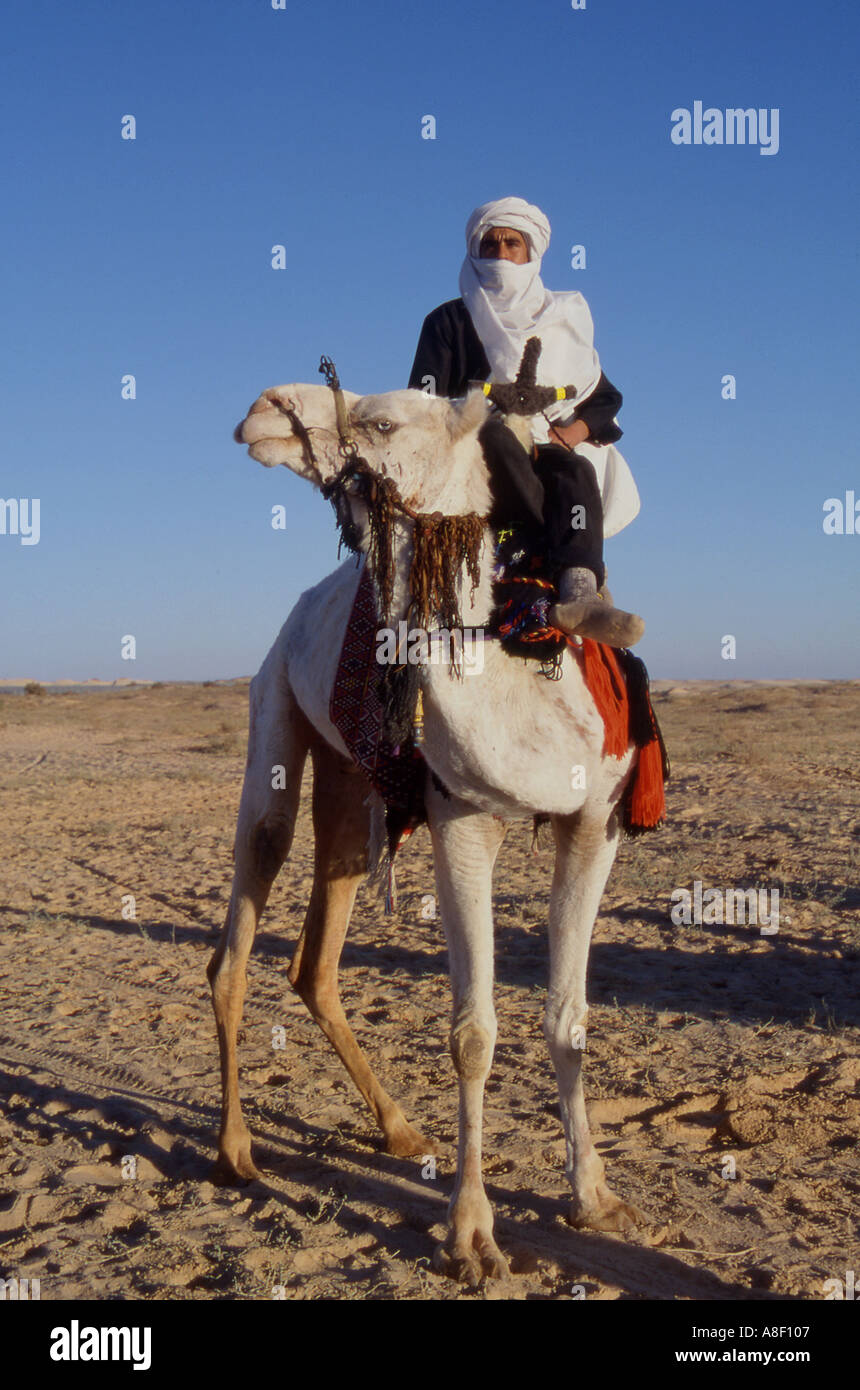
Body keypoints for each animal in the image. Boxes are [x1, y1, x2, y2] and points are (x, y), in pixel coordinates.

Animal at [207, 377, 646, 1285]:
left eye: (381, 421)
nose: (264, 406)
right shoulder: (462, 819)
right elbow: (473, 1034)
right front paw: (472, 1235)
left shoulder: (596, 824)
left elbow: (570, 1019)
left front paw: (593, 1197)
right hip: (274, 707)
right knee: (244, 914)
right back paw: (236, 1151)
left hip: (349, 783)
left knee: (315, 958)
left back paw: (401, 1128)